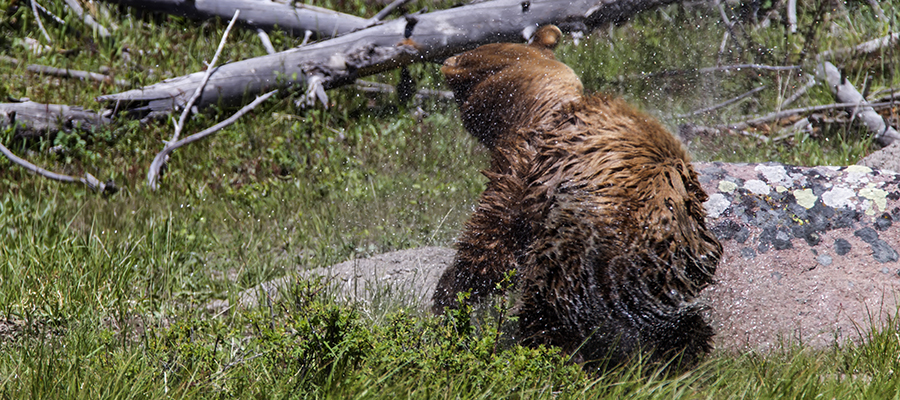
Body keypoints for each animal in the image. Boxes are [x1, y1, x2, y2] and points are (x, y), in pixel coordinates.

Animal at [431, 25, 723, 368]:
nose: (447, 60)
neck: (533, 110)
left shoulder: (525, 172)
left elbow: (490, 242)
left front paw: (447, 296)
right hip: (681, 273)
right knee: (682, 325)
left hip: (579, 247)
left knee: (548, 303)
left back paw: (549, 352)